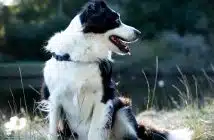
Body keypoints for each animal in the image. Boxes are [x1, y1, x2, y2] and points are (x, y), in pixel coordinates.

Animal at [39, 0, 192, 139]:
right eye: (117, 20)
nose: (138, 32)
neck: (82, 55)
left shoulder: (104, 97)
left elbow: (95, 133)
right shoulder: (54, 100)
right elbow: (52, 132)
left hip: (122, 109)